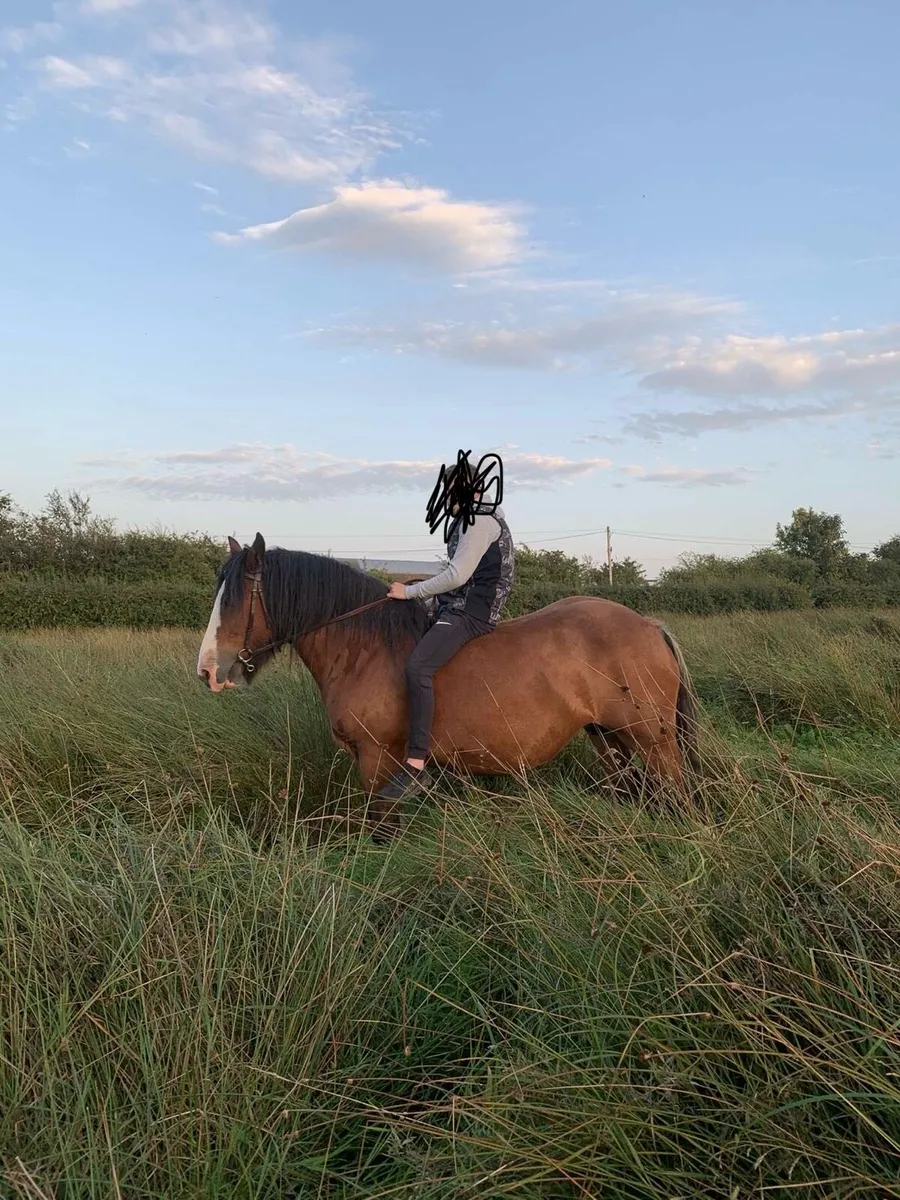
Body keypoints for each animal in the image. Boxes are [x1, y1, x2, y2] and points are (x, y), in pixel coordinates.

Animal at [197, 534, 700, 830]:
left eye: (237, 599)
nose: (209, 672)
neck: (364, 648)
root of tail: (649, 625)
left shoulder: (378, 762)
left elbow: (382, 829)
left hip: (653, 744)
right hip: (609, 739)